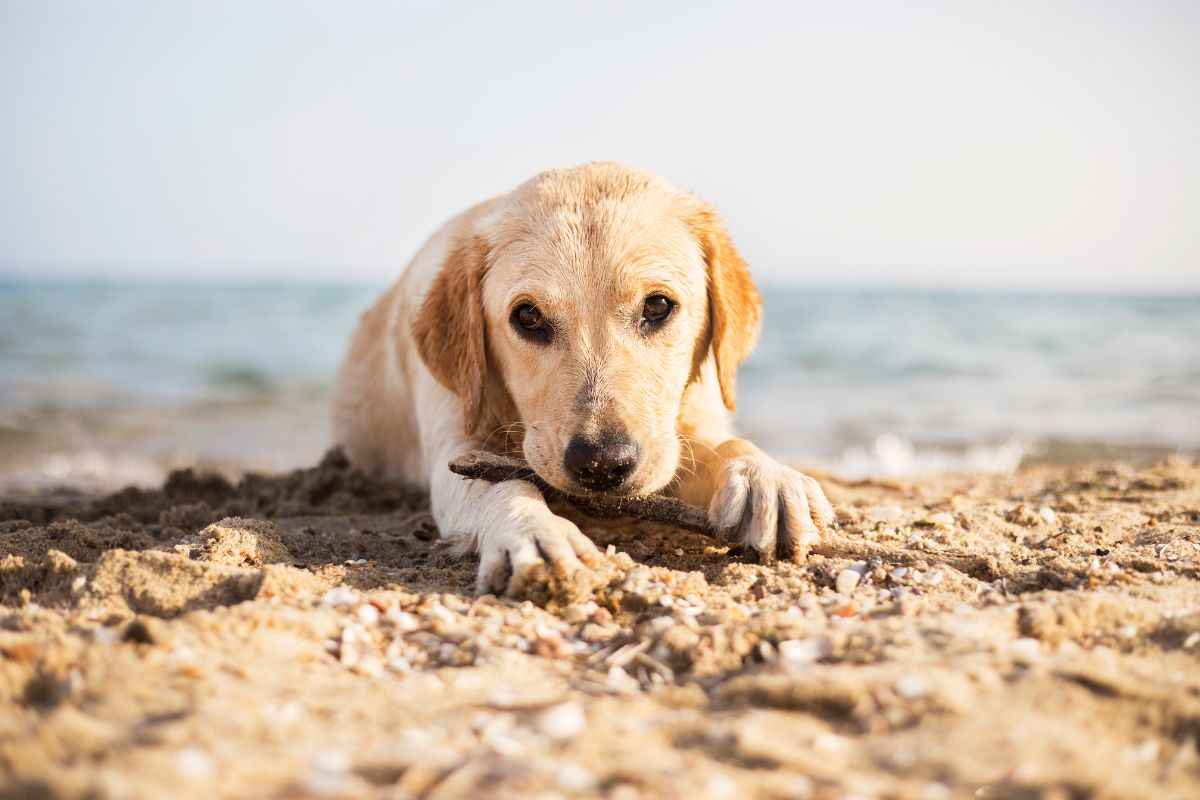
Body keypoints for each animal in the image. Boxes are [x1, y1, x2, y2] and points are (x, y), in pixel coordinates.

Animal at [333, 160, 830, 594]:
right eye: (528, 317)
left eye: (657, 306)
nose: (602, 464)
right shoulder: (453, 447)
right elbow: (502, 484)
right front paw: (534, 531)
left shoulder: (690, 423)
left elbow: (725, 444)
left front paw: (765, 478)